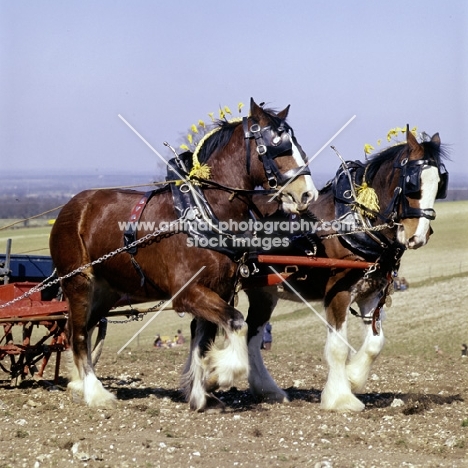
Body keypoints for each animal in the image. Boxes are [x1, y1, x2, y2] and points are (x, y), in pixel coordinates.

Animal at [48, 98, 318, 410]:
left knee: (82, 327)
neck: (204, 211)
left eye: (297, 145)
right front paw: (219, 373)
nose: (307, 195)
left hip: (107, 290)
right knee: (79, 332)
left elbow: (203, 339)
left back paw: (78, 383)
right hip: (78, 281)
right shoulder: (187, 292)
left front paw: (200, 393)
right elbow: (236, 323)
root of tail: (72, 206)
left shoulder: (221, 289)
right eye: (275, 146)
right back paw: (95, 392)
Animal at [243, 127, 448, 410]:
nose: (417, 236)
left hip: (263, 293)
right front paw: (340, 398)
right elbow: (338, 347)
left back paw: (266, 389)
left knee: (252, 335)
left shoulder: (372, 293)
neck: (354, 225)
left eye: (440, 184)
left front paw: (353, 377)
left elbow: (375, 343)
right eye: (412, 184)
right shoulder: (337, 293)